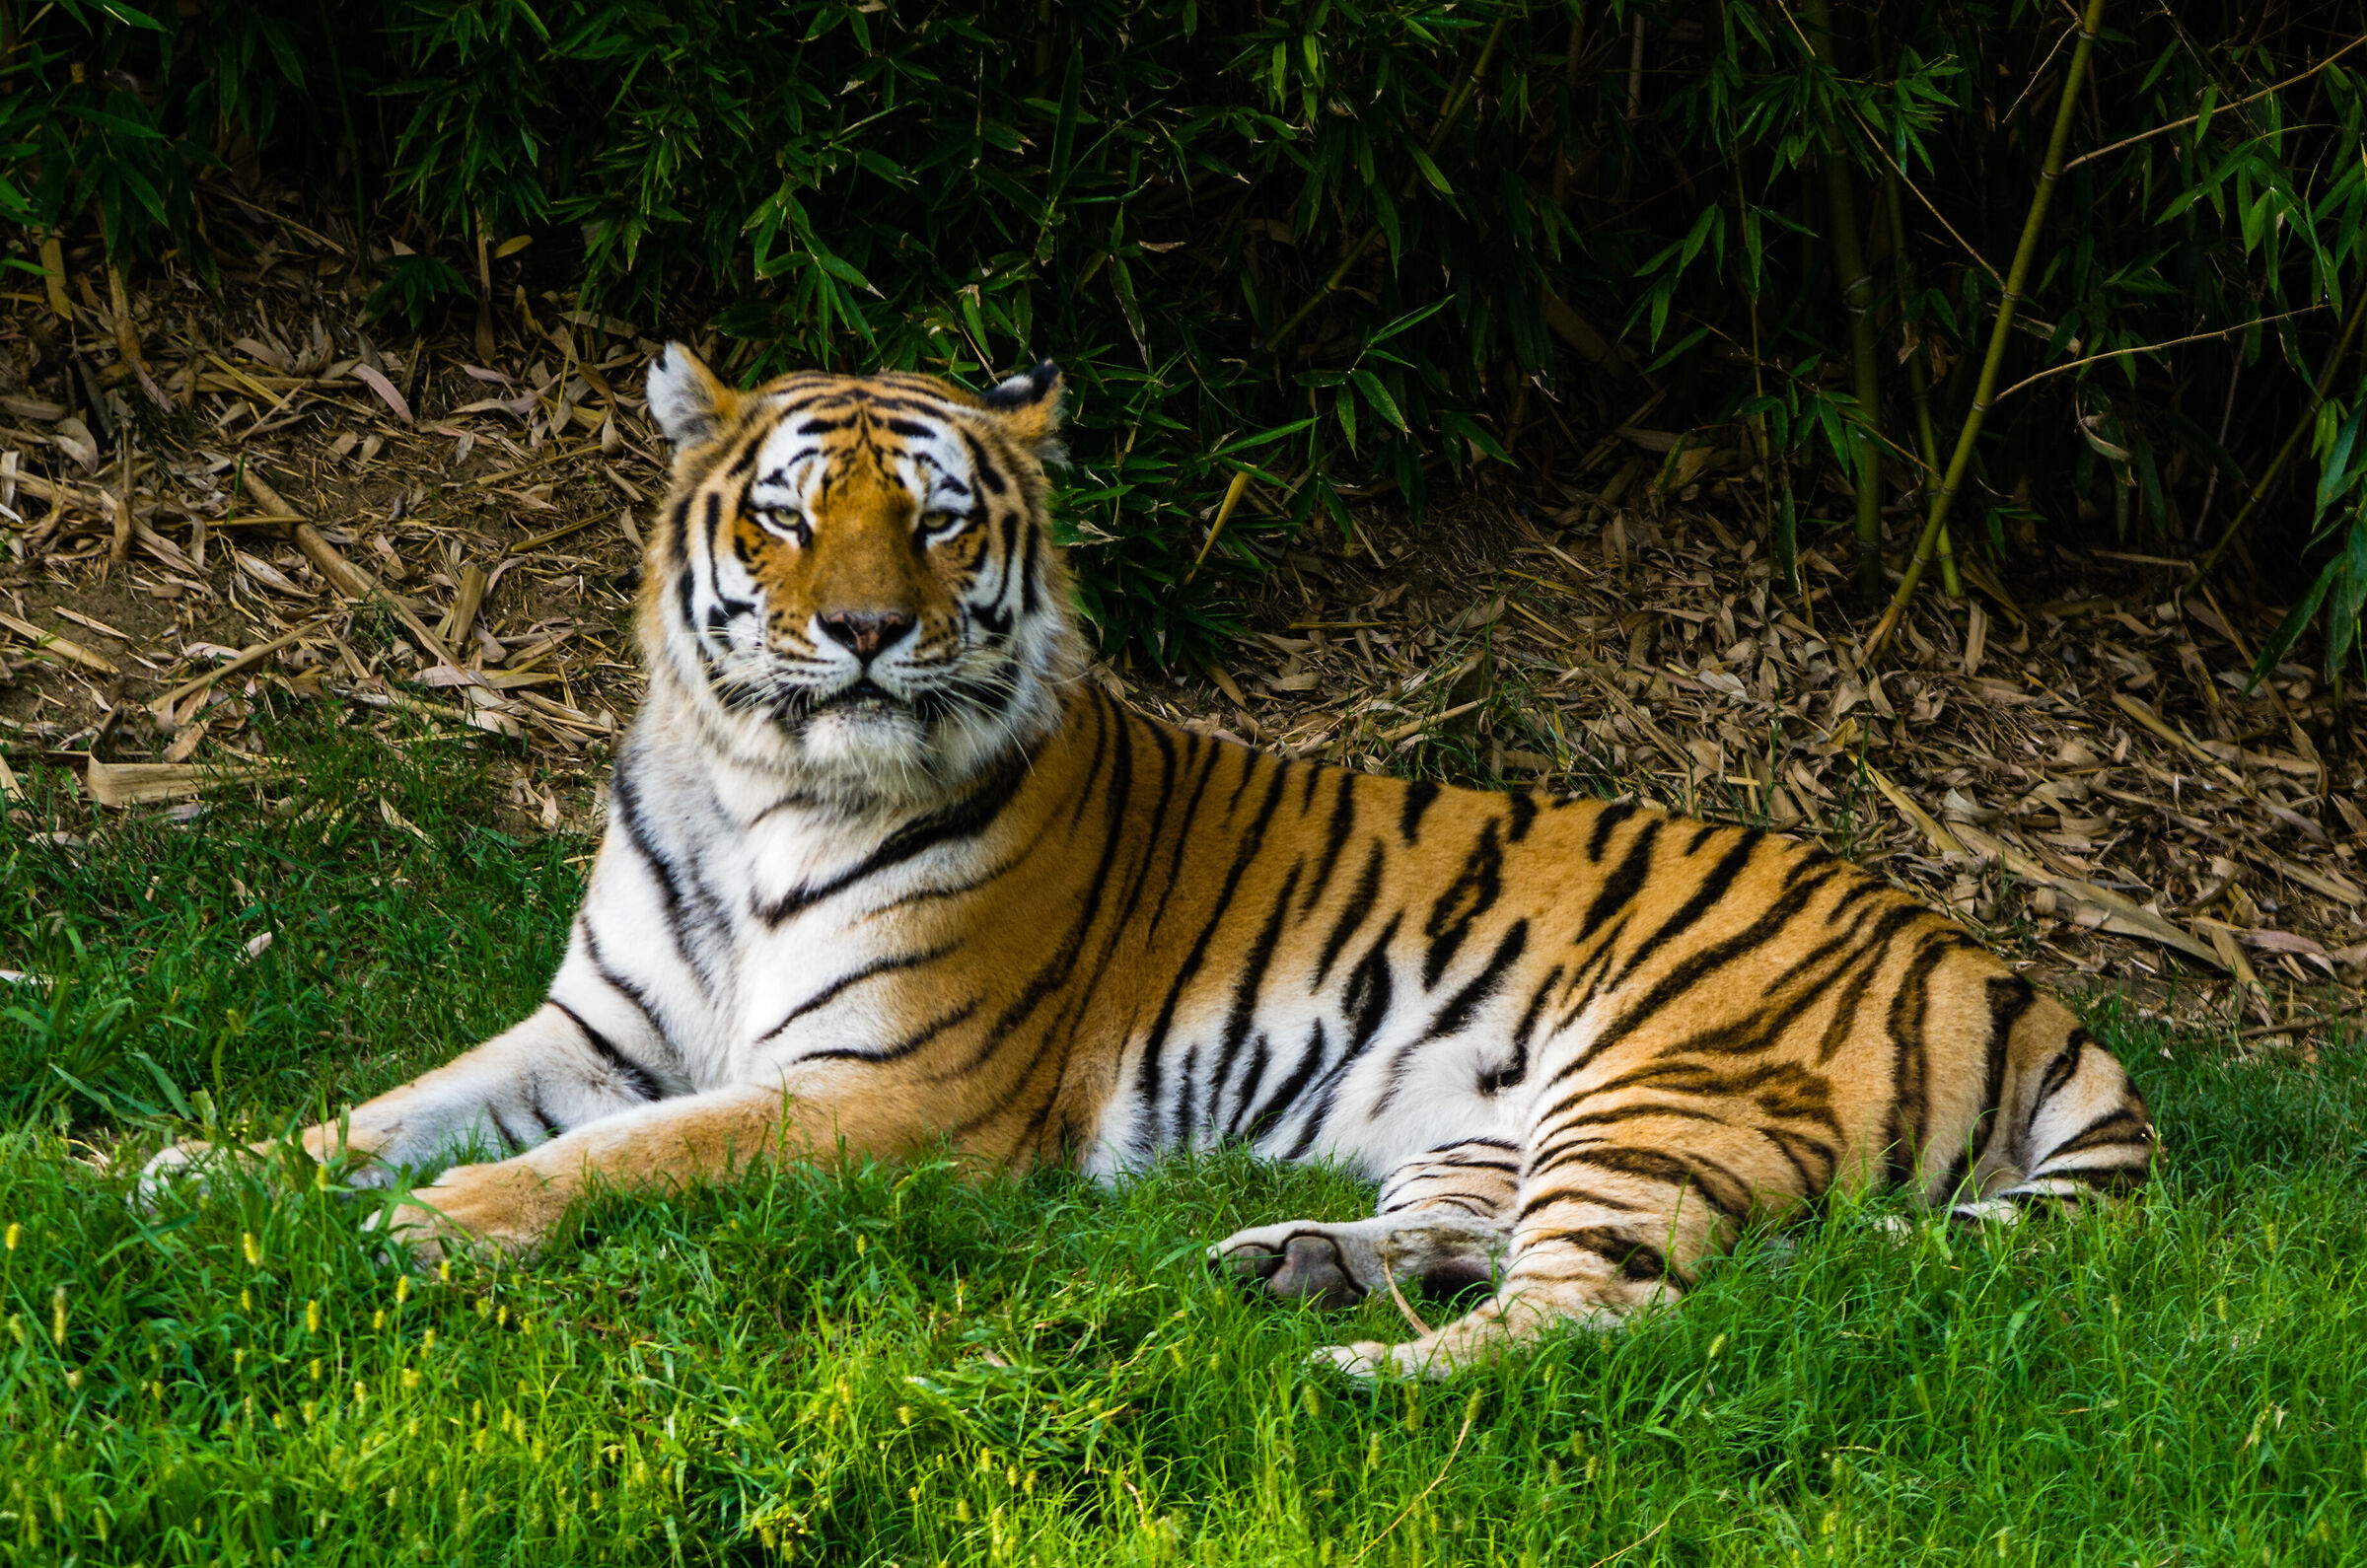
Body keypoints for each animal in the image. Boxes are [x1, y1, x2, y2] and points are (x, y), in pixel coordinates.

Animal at [141, 345, 2157, 1377]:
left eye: (939, 522)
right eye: (787, 517)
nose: (863, 633)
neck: (755, 788)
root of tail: (2005, 968)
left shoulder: (890, 1092)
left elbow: (628, 1157)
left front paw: (432, 1231)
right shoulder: (600, 1026)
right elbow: (393, 1101)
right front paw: (182, 1169)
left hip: (1663, 1090)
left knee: (1604, 1316)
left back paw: (1361, 1377)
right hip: (1507, 1118)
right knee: (1489, 1239)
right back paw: (1292, 1266)